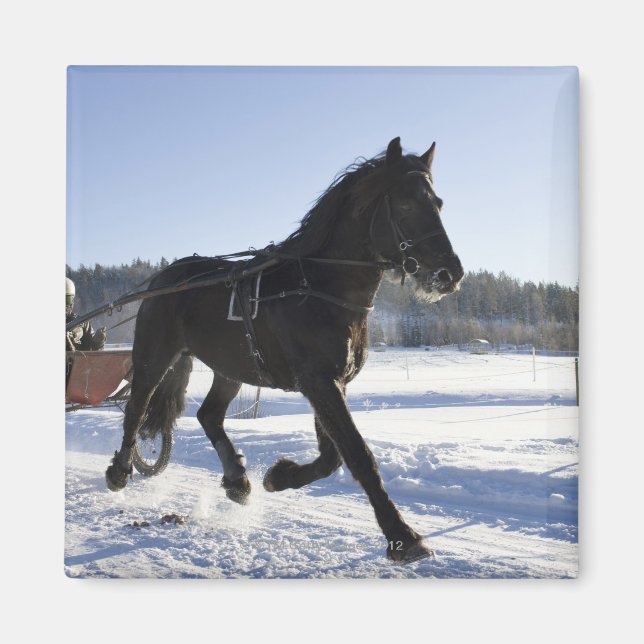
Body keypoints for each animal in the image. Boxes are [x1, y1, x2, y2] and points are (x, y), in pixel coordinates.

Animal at [106, 137, 464, 563]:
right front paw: (402, 536)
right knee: (137, 407)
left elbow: (332, 456)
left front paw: (280, 476)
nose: (450, 273)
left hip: (230, 367)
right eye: (407, 204)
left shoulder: (332, 382)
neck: (321, 287)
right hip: (155, 354)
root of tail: (165, 277)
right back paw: (119, 471)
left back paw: (237, 480)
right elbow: (357, 454)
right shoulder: (319, 381)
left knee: (209, 415)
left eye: (438, 203)